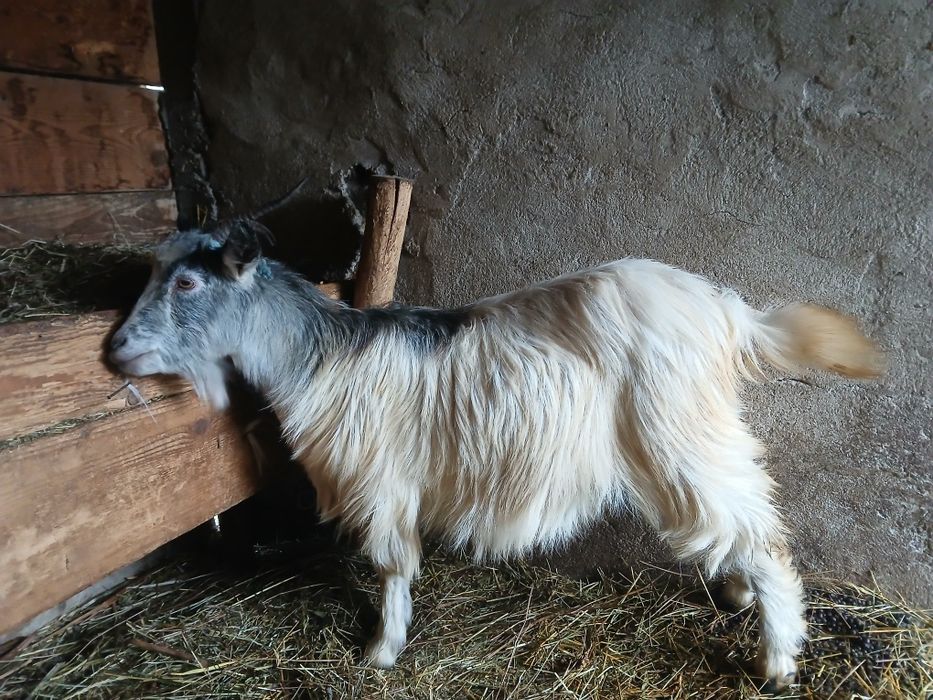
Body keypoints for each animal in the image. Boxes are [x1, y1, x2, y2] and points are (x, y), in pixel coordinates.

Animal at [109, 219, 885, 690]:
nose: (115, 350)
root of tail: (729, 312)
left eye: (187, 283)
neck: (322, 355)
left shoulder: (381, 482)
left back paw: (777, 656)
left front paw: (379, 652)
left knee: (762, 534)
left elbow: (392, 567)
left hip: (680, 431)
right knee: (741, 522)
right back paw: (738, 595)